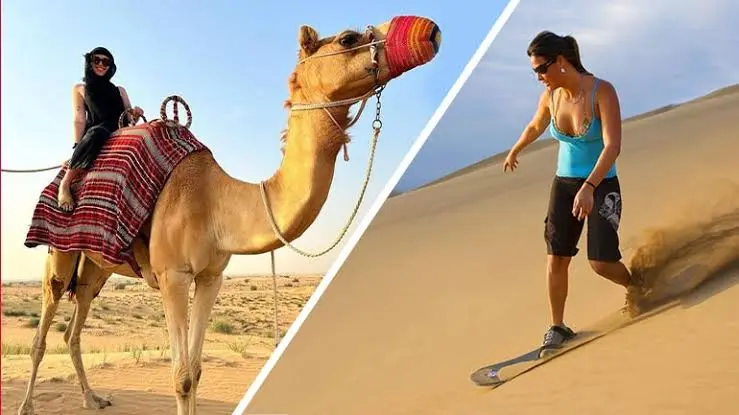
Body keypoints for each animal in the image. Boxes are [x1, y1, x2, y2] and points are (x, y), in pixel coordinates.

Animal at [17, 15, 441, 415]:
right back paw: (27, 405)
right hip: (60, 253)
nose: (430, 30)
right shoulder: (173, 275)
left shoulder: (211, 276)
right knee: (43, 330)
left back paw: (92, 399)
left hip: (96, 267)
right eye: (348, 39)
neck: (215, 200)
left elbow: (196, 370)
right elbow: (181, 376)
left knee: (74, 325)